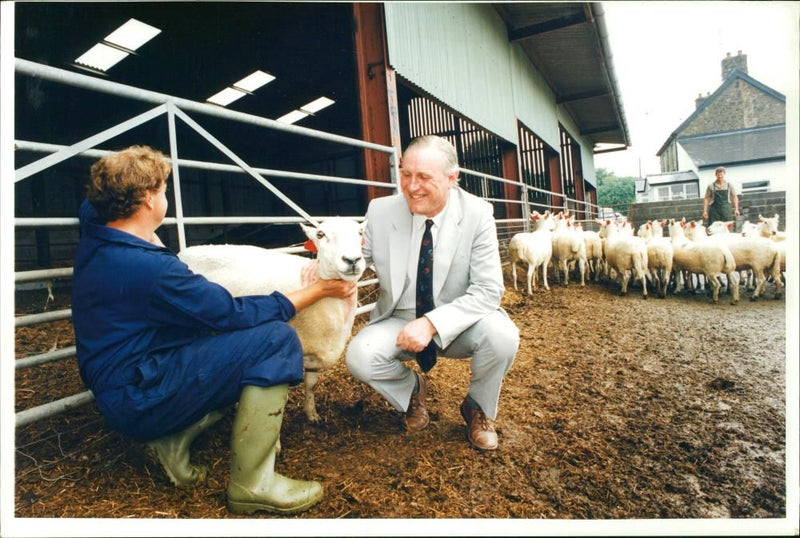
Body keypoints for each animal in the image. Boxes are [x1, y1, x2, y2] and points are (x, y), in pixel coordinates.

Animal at [177, 216, 366, 420]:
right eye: (320, 234)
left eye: (360, 233)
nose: (352, 260)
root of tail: (183, 252)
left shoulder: (315, 354)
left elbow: (311, 385)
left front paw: (311, 414)